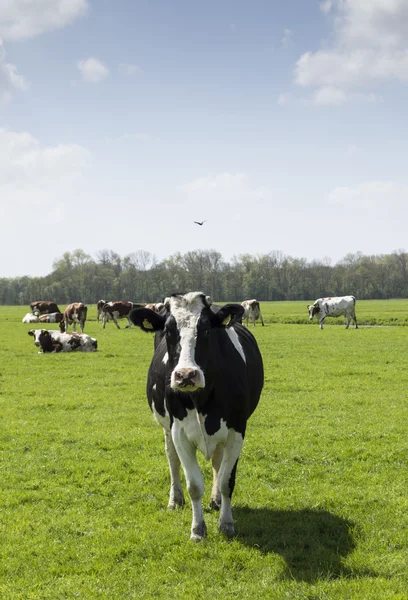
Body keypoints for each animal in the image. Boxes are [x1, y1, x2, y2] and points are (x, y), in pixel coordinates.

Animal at [131, 290, 264, 540]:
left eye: (206, 329)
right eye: (168, 330)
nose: (186, 375)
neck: (200, 398)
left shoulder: (237, 431)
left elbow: (226, 480)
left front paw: (226, 524)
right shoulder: (179, 432)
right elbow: (193, 485)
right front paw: (197, 530)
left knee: (217, 462)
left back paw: (216, 500)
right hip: (167, 428)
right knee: (172, 458)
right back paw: (175, 499)